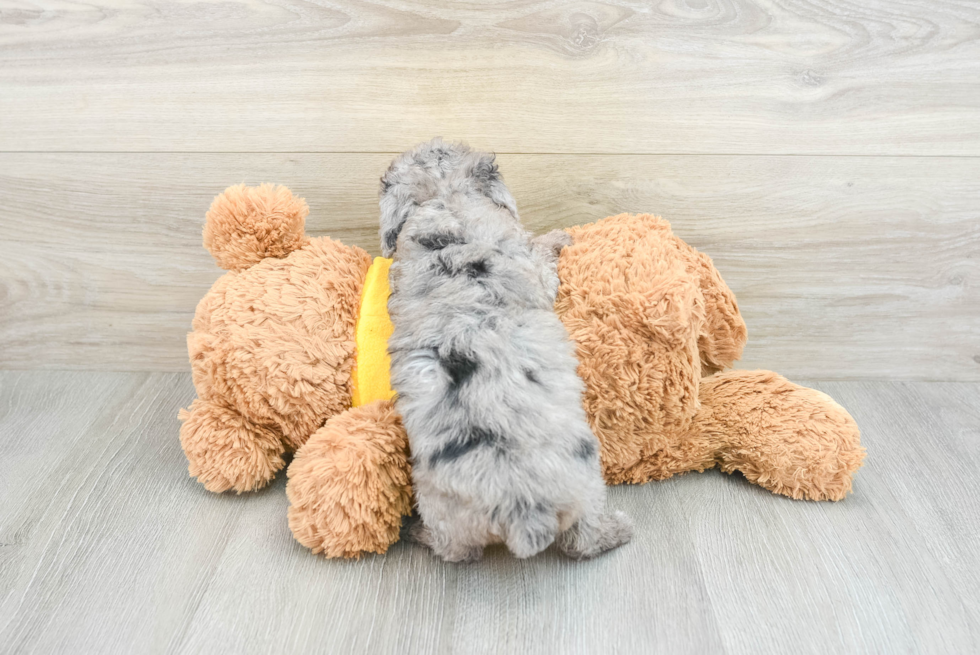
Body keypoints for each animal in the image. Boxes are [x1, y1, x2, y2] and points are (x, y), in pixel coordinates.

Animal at [378, 140, 632, 564]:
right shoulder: (535, 269)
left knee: (458, 549)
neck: (446, 198)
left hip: (444, 508)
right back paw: (618, 531)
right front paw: (559, 237)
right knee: (581, 540)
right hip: (585, 485)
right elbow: (543, 255)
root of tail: (522, 510)